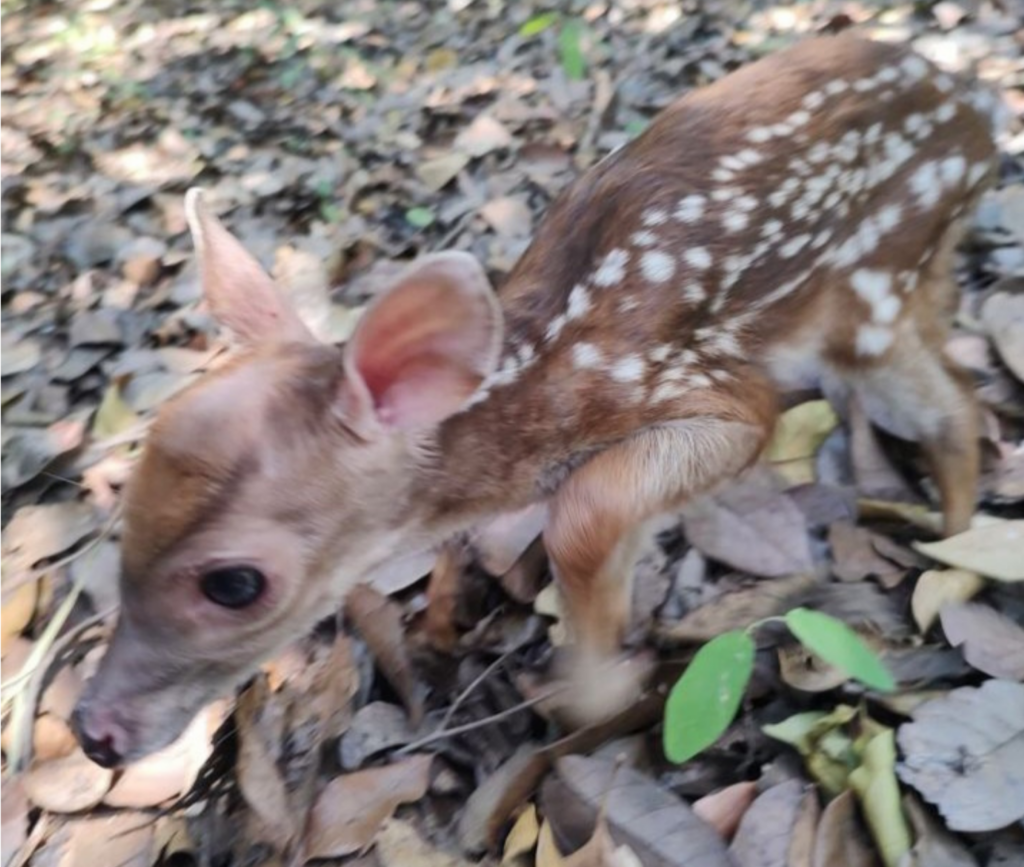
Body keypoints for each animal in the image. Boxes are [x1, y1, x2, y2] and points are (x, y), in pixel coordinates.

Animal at [74, 32, 999, 765]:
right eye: (123, 512)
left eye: (234, 584)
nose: (92, 731)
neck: (535, 398)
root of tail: (981, 108)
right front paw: (442, 629)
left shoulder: (712, 391)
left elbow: (585, 515)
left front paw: (597, 690)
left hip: (871, 284)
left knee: (954, 403)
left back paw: (954, 563)